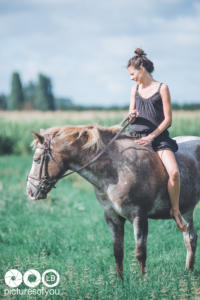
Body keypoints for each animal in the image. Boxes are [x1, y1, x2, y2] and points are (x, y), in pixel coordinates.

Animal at [26, 123, 200, 276]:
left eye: (37, 159)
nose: (30, 191)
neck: (117, 169)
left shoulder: (139, 216)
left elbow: (140, 253)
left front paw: (143, 281)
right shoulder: (112, 216)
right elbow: (118, 252)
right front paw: (119, 282)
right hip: (186, 211)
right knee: (190, 238)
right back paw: (188, 273)